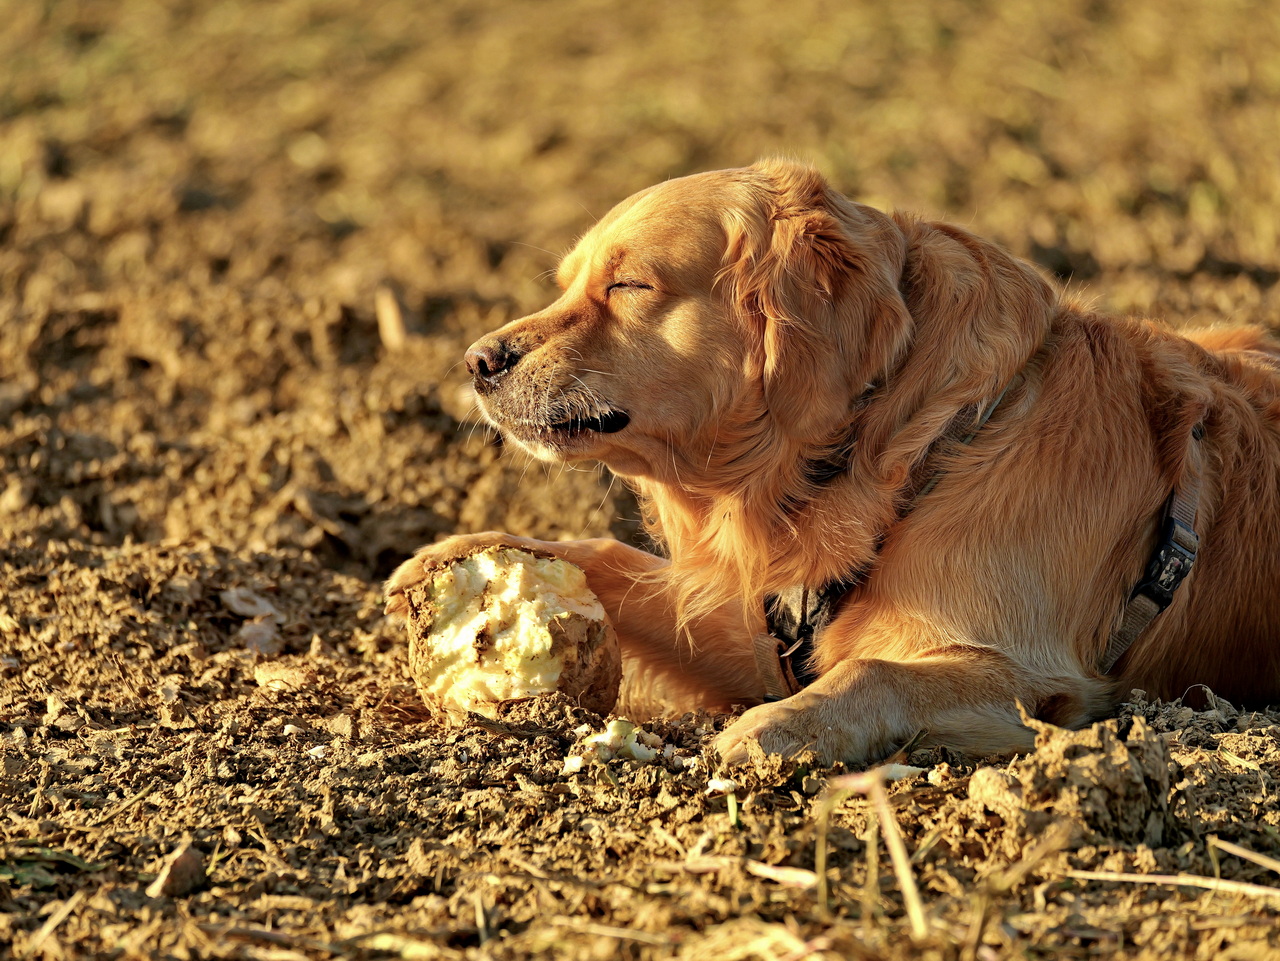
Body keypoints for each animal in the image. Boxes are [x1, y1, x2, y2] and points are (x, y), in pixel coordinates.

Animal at [381, 159, 1280, 767]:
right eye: (567, 283)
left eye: (630, 285)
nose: (476, 360)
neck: (922, 446)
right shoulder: (759, 636)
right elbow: (608, 557)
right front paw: (460, 556)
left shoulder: (1039, 677)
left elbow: (873, 674)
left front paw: (771, 733)